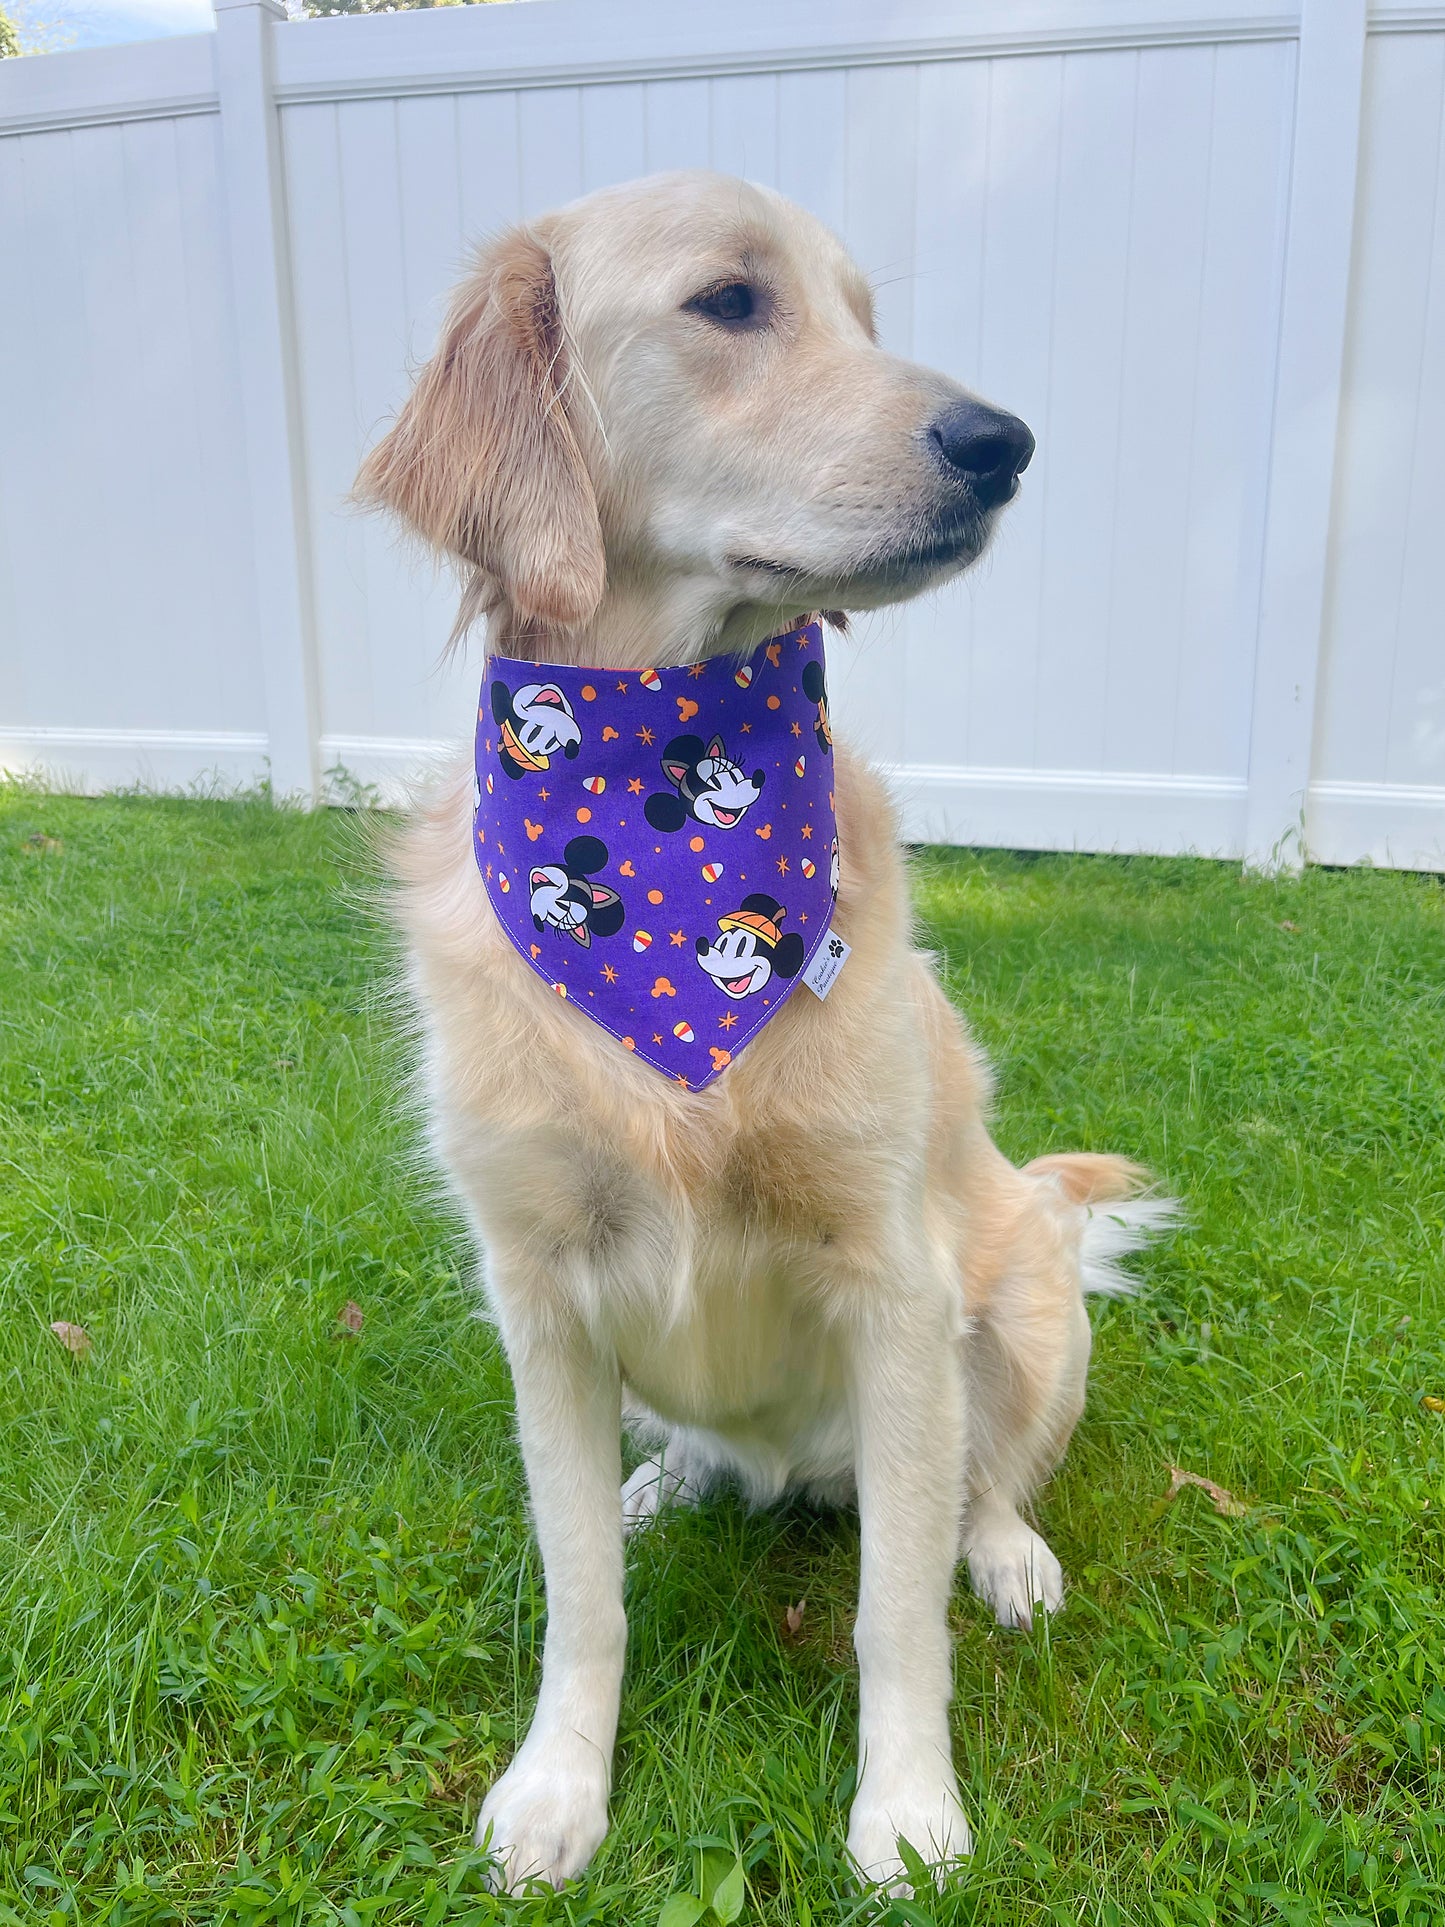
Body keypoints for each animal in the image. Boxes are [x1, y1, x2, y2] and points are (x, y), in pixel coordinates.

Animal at [360, 169, 1179, 1896]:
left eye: (863, 315)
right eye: (731, 302)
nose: (1004, 441)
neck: (659, 810)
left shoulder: (893, 1280)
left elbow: (894, 1608)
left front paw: (908, 1810)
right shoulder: (536, 1291)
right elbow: (579, 1592)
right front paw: (558, 1785)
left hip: (1024, 1307)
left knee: (984, 1477)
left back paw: (1007, 1551)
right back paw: (666, 1477)